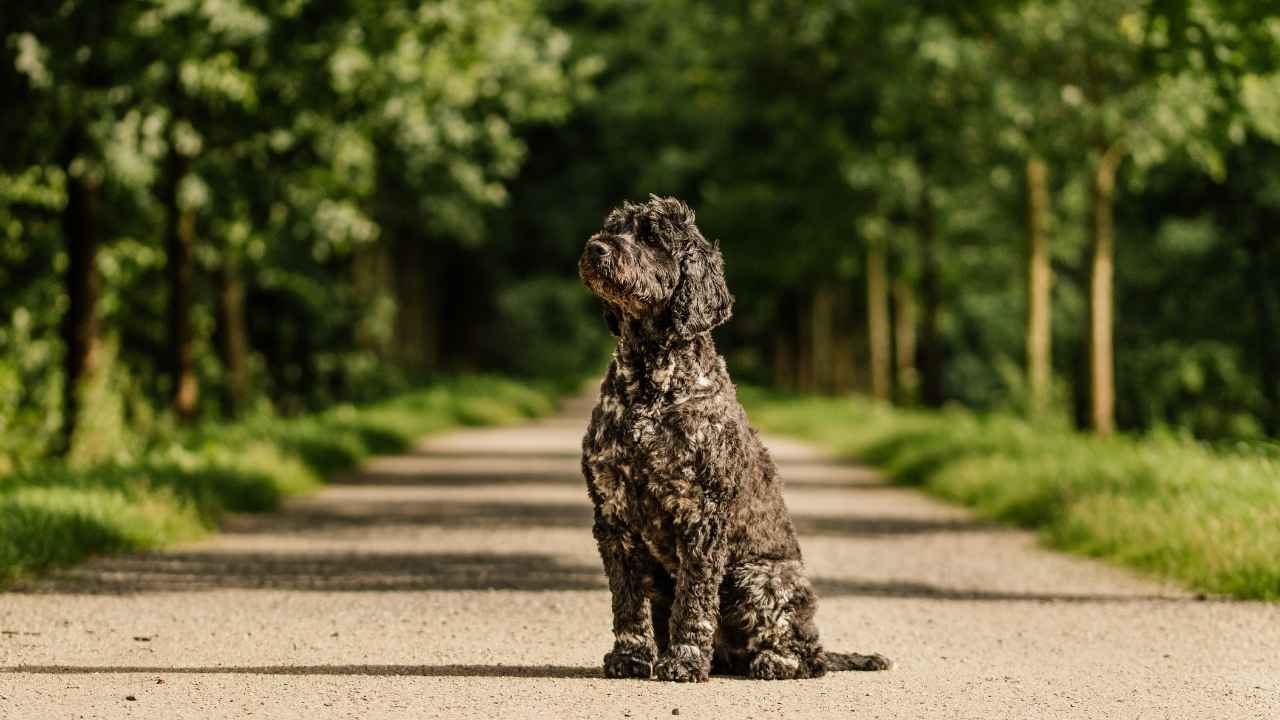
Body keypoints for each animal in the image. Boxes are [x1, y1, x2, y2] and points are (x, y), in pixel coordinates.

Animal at [578, 194, 890, 676]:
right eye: (613, 228)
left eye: (651, 237)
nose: (596, 248)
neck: (651, 386)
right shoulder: (614, 516)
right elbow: (627, 601)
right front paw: (630, 656)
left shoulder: (702, 515)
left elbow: (694, 600)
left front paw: (685, 660)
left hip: (758, 575)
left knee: (806, 656)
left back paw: (775, 662)